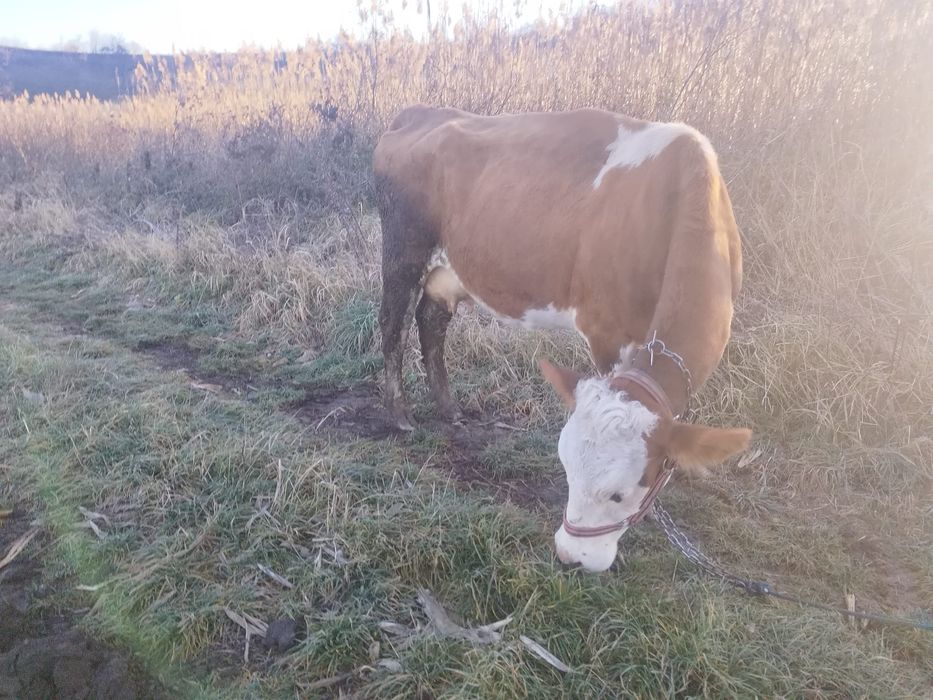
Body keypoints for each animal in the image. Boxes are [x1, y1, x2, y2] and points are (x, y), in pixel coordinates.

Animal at [373, 105, 751, 571]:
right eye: (567, 470)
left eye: (618, 494)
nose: (572, 556)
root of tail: (420, 114)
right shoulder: (606, 329)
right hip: (403, 252)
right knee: (392, 325)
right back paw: (400, 414)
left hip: (449, 271)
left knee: (431, 324)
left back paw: (449, 408)